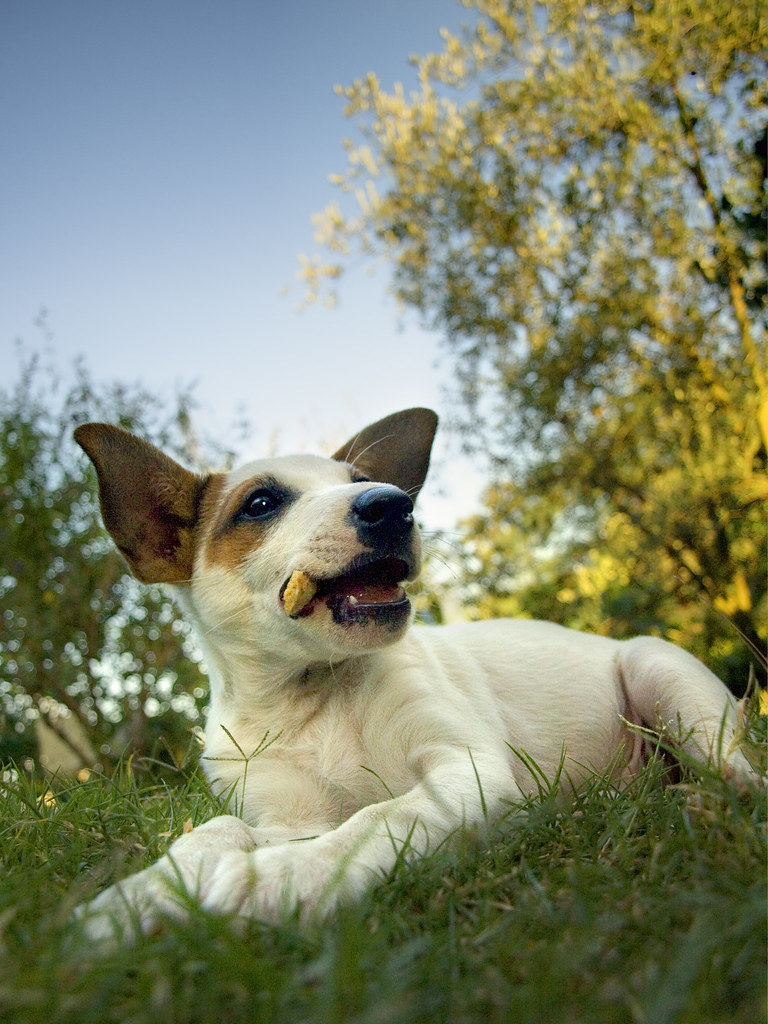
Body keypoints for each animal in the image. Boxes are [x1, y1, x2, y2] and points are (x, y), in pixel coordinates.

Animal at [75, 405, 761, 937]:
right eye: (261, 503)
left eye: (363, 480)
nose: (392, 505)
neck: (312, 697)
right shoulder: (290, 819)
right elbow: (215, 830)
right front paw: (140, 896)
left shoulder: (466, 770)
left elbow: (382, 818)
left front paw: (280, 880)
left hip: (661, 675)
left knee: (735, 775)